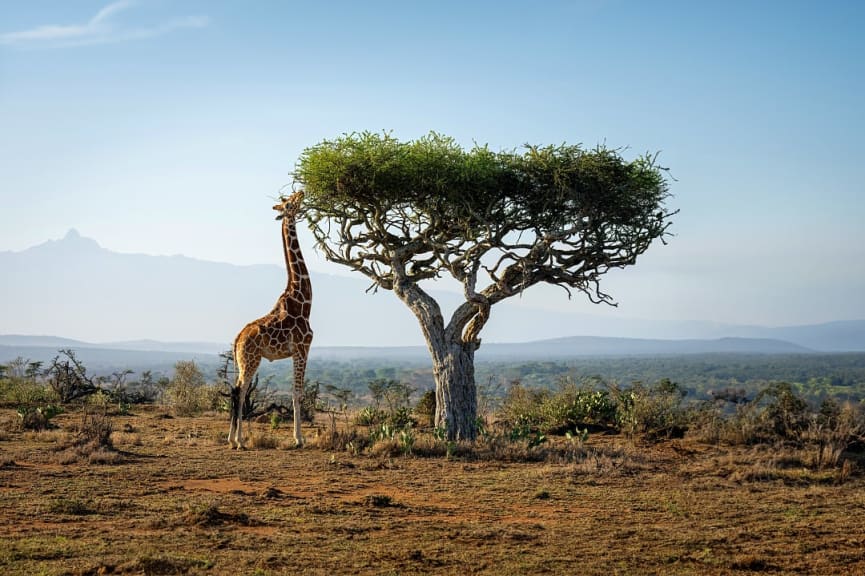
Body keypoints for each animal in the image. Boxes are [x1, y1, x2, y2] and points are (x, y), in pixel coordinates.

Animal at [228, 191, 312, 448]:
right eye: (289, 203)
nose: (301, 192)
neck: (304, 301)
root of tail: (237, 339)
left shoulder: (296, 352)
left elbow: (295, 392)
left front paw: (298, 436)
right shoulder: (302, 348)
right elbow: (297, 393)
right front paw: (299, 439)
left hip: (242, 360)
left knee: (237, 390)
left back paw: (232, 438)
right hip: (252, 359)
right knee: (240, 391)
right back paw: (239, 441)